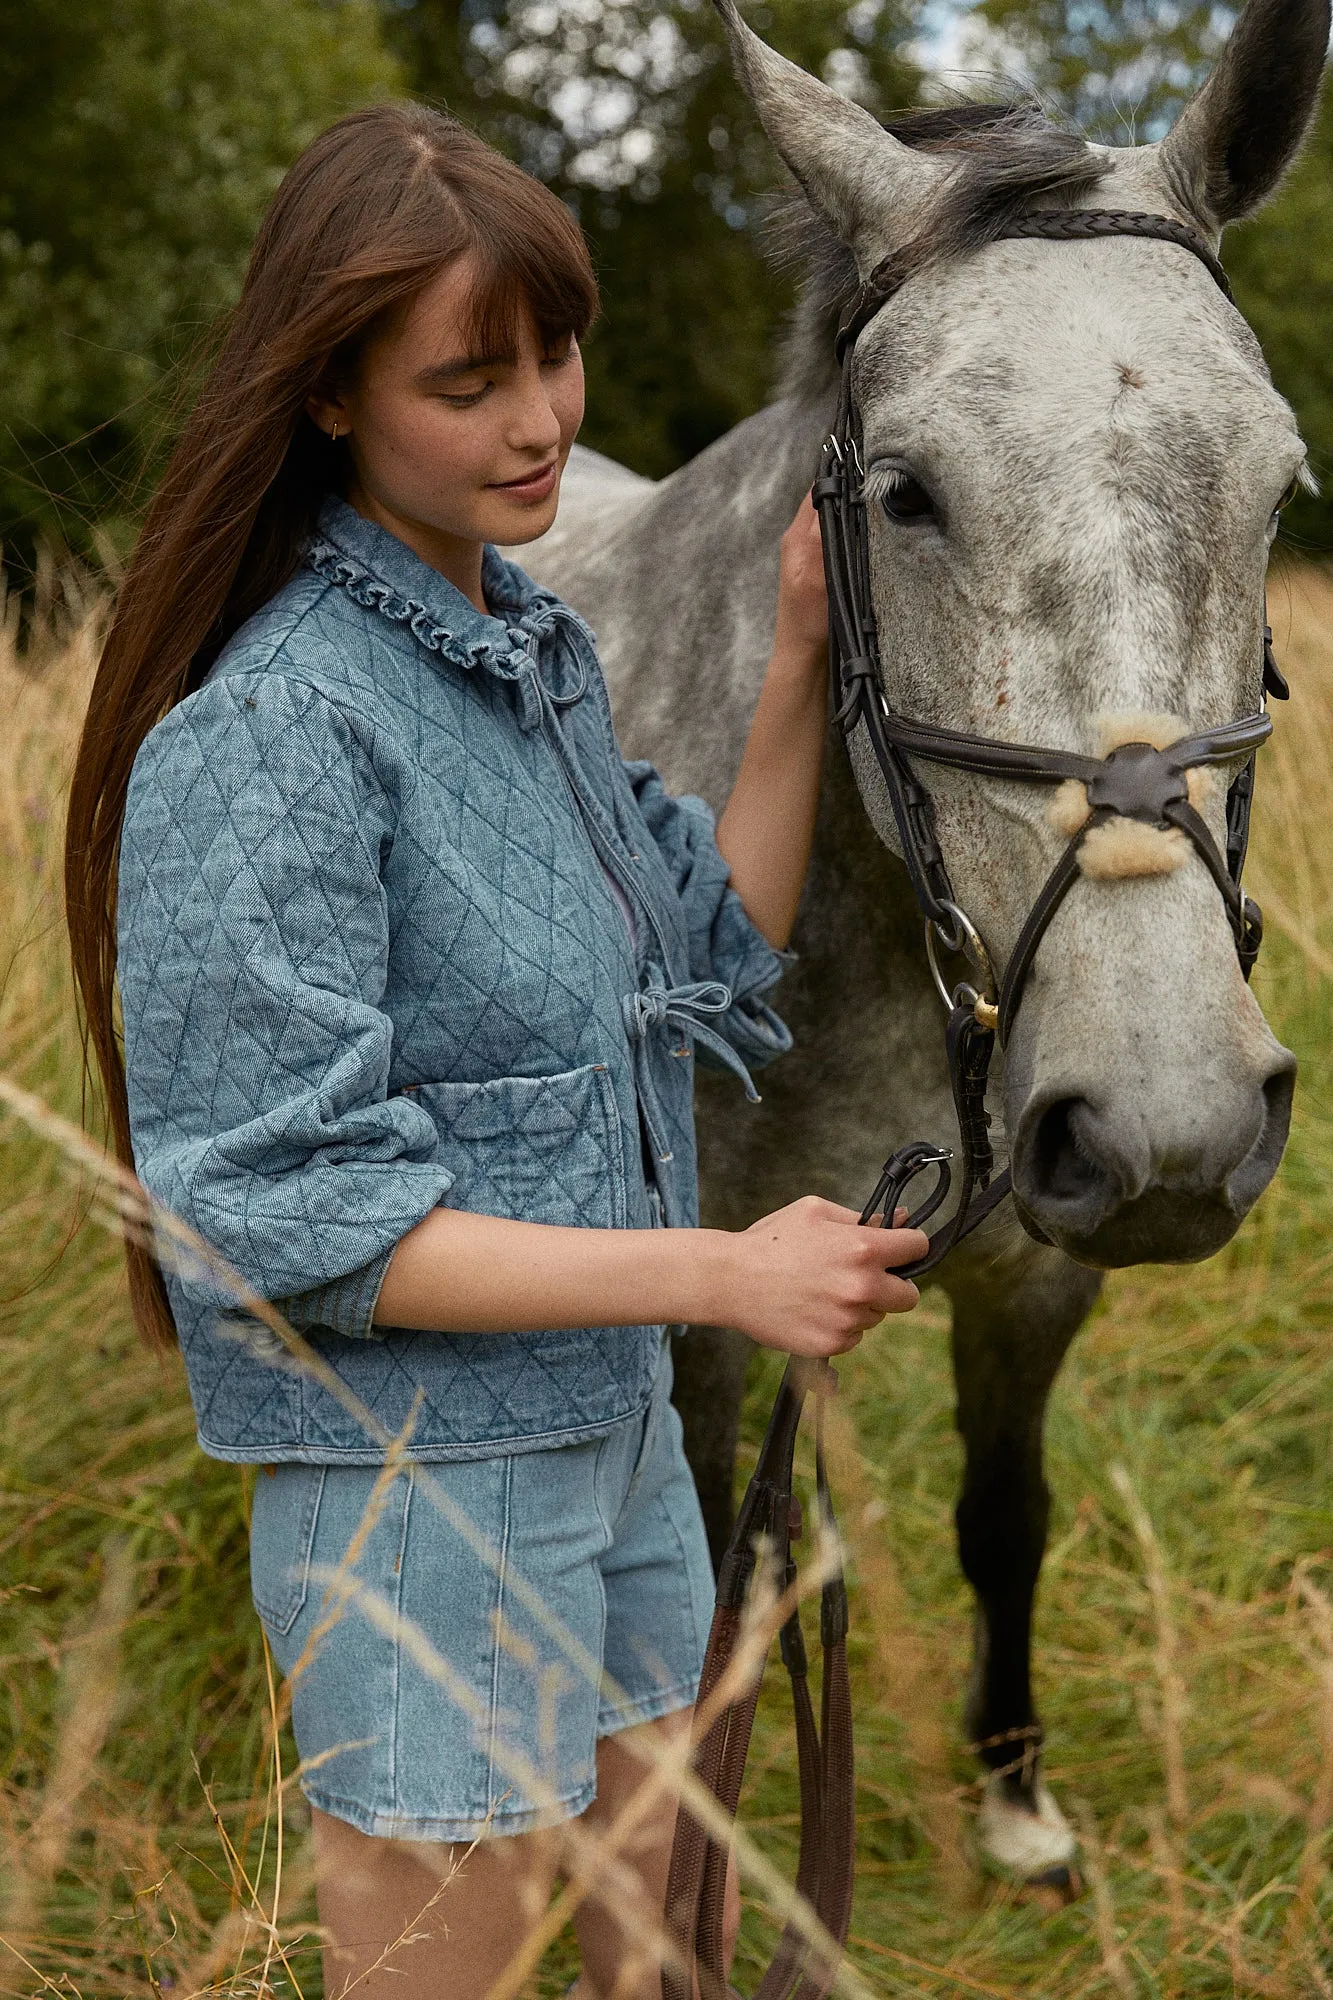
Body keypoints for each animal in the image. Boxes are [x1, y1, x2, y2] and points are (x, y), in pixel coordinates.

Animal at [524, 0, 1320, 1872]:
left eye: (1277, 489)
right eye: (902, 495)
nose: (1170, 1122)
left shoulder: (1035, 1278)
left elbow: (1003, 1514)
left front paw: (1014, 1801)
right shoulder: (700, 1303)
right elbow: (713, 1584)